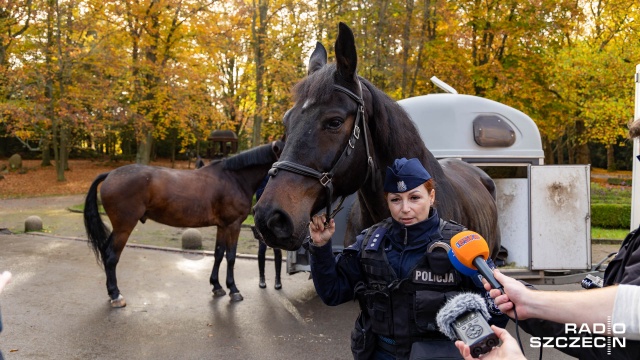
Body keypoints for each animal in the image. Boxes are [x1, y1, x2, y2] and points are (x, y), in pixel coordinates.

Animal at [84, 141, 284, 306]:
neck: (234, 178)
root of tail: (110, 174)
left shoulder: (222, 226)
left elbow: (219, 254)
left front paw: (217, 286)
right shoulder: (233, 225)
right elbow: (231, 257)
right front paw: (233, 290)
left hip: (118, 228)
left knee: (106, 252)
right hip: (124, 228)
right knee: (111, 256)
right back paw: (116, 295)